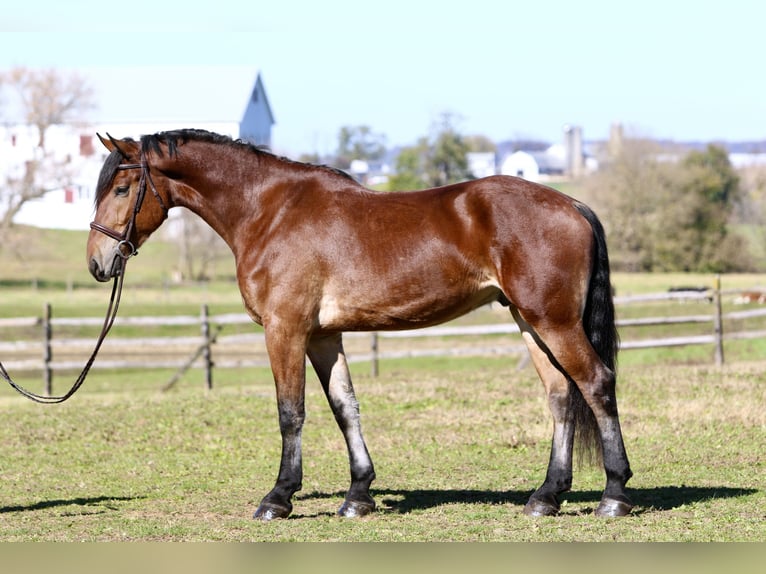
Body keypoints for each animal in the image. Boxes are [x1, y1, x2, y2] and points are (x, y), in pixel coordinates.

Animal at [87, 129, 633, 520]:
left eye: (122, 188)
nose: (97, 262)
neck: (269, 211)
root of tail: (573, 205)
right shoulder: (323, 335)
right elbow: (344, 407)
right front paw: (358, 495)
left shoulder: (285, 329)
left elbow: (291, 412)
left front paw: (278, 498)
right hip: (529, 321)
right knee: (561, 396)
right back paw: (546, 497)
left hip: (553, 321)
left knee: (596, 383)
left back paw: (613, 495)